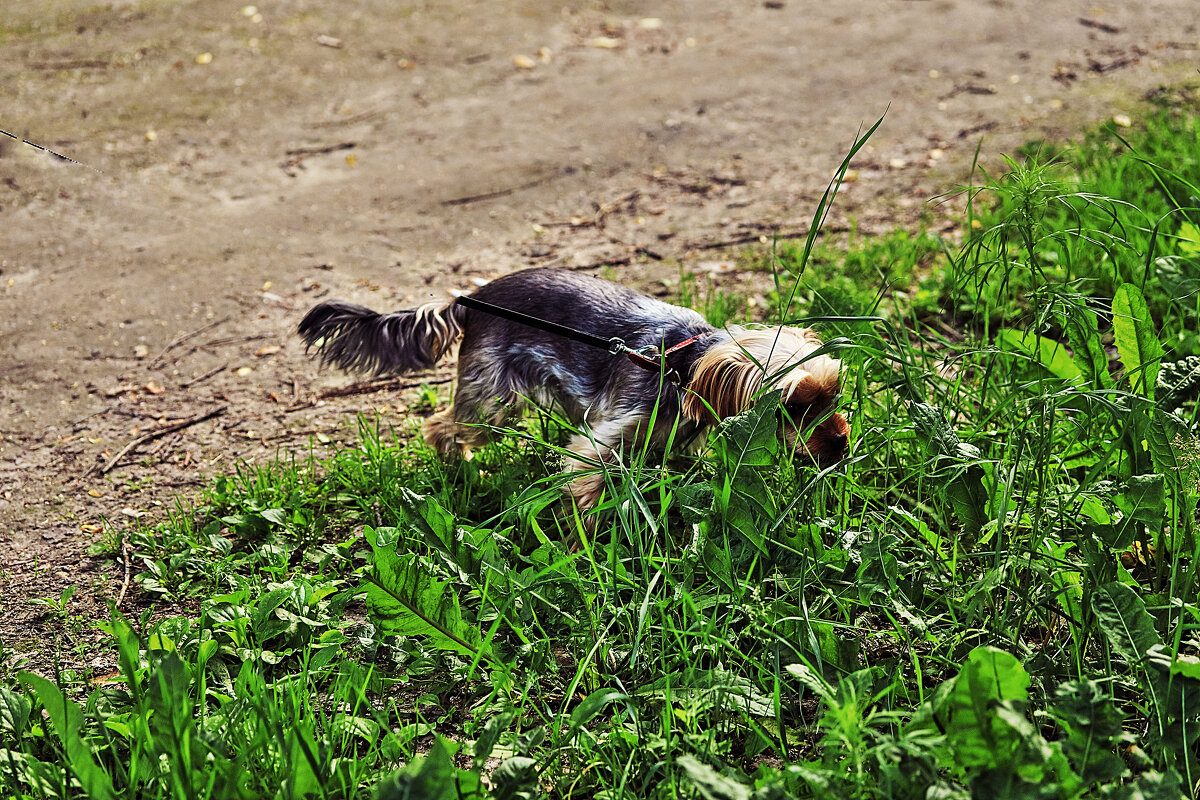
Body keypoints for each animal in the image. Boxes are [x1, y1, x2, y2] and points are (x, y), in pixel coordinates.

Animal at [296, 267, 849, 520]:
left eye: (834, 396)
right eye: (793, 408)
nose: (842, 445)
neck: (685, 368)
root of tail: (470, 301)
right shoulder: (605, 438)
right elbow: (586, 483)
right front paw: (584, 533)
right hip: (493, 397)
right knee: (444, 426)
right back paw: (463, 470)